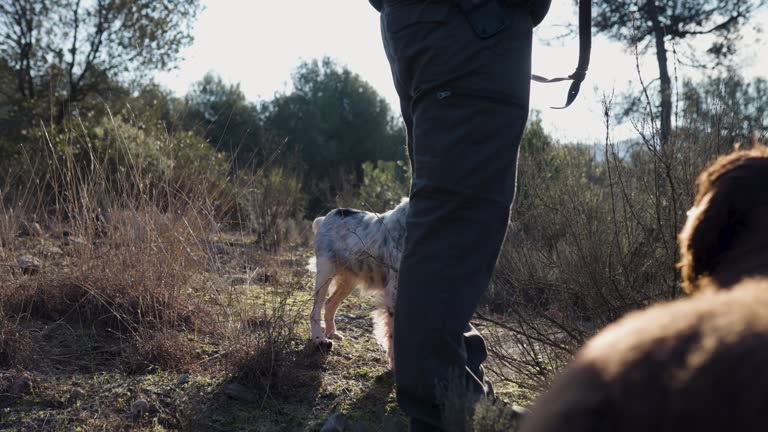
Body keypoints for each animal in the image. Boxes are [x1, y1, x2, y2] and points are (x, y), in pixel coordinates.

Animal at [308, 197, 412, 366]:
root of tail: (325, 217)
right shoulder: (394, 293)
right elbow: (393, 334)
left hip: (349, 281)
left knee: (330, 304)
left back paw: (332, 333)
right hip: (325, 271)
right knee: (315, 309)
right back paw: (319, 339)